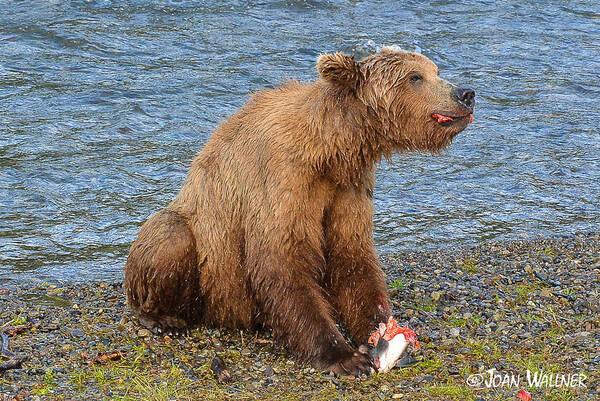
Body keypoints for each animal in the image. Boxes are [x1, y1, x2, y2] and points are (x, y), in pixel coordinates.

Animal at [124, 47, 476, 376]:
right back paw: (162, 318)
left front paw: (382, 333)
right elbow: (282, 262)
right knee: (170, 237)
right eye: (415, 77)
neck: (330, 150)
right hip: (204, 258)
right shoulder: (283, 180)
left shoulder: (349, 187)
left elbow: (353, 256)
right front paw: (343, 356)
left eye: (434, 70)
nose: (466, 94)